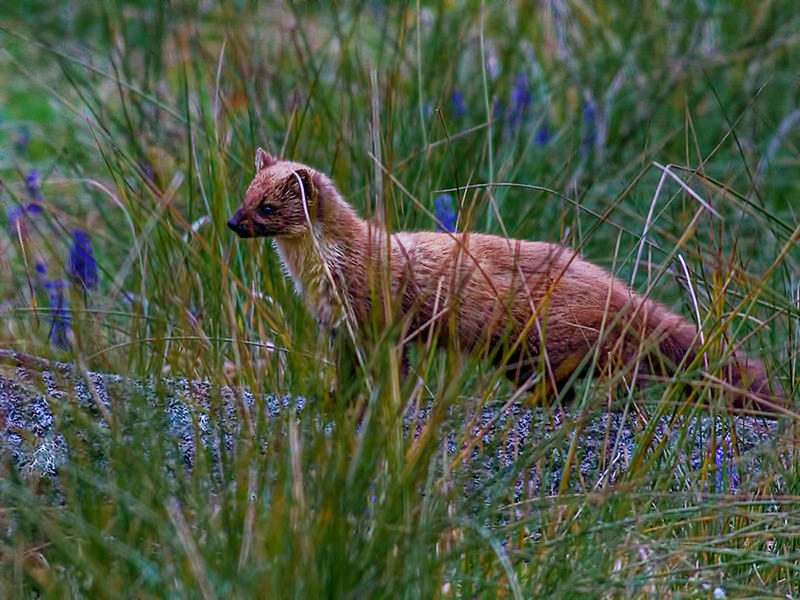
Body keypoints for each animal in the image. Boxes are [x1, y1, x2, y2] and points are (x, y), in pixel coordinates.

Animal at [228, 149, 784, 412]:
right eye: (244, 195)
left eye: (267, 207)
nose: (233, 223)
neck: (320, 276)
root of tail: (617, 288)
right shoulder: (339, 327)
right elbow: (347, 373)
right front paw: (337, 399)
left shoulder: (380, 315)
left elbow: (393, 370)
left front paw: (379, 402)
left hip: (550, 336)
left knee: (581, 378)